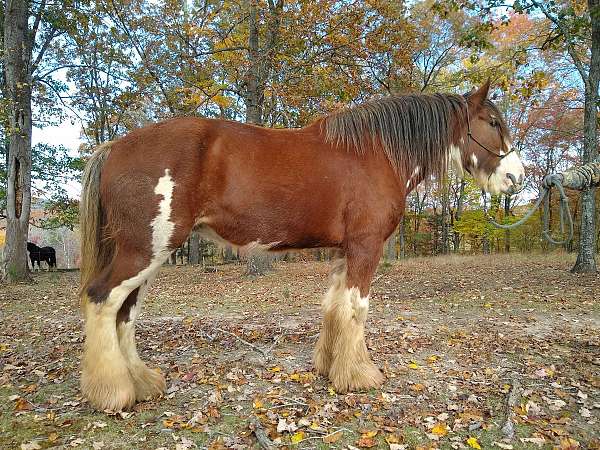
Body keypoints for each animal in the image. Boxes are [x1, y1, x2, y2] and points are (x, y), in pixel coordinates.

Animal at [77, 81, 524, 412]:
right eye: (493, 122)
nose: (517, 178)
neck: (377, 153)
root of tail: (114, 148)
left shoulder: (344, 250)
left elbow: (334, 307)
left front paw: (329, 368)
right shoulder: (366, 247)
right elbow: (357, 309)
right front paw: (359, 376)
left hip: (147, 254)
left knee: (125, 312)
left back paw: (142, 383)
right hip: (144, 250)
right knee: (103, 299)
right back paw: (113, 393)